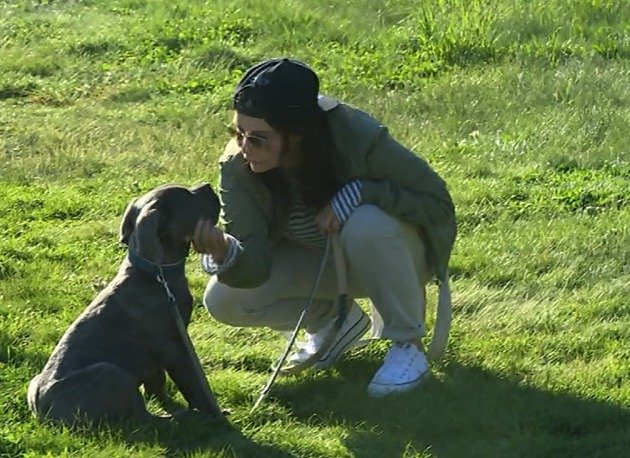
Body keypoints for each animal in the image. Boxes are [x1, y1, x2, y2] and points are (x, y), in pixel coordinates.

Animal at [27, 182, 225, 426]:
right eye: (186, 194)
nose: (208, 185)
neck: (157, 274)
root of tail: (43, 414)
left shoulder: (157, 356)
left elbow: (156, 382)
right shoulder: (174, 346)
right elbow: (194, 384)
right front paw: (216, 416)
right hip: (112, 373)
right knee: (143, 419)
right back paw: (181, 418)